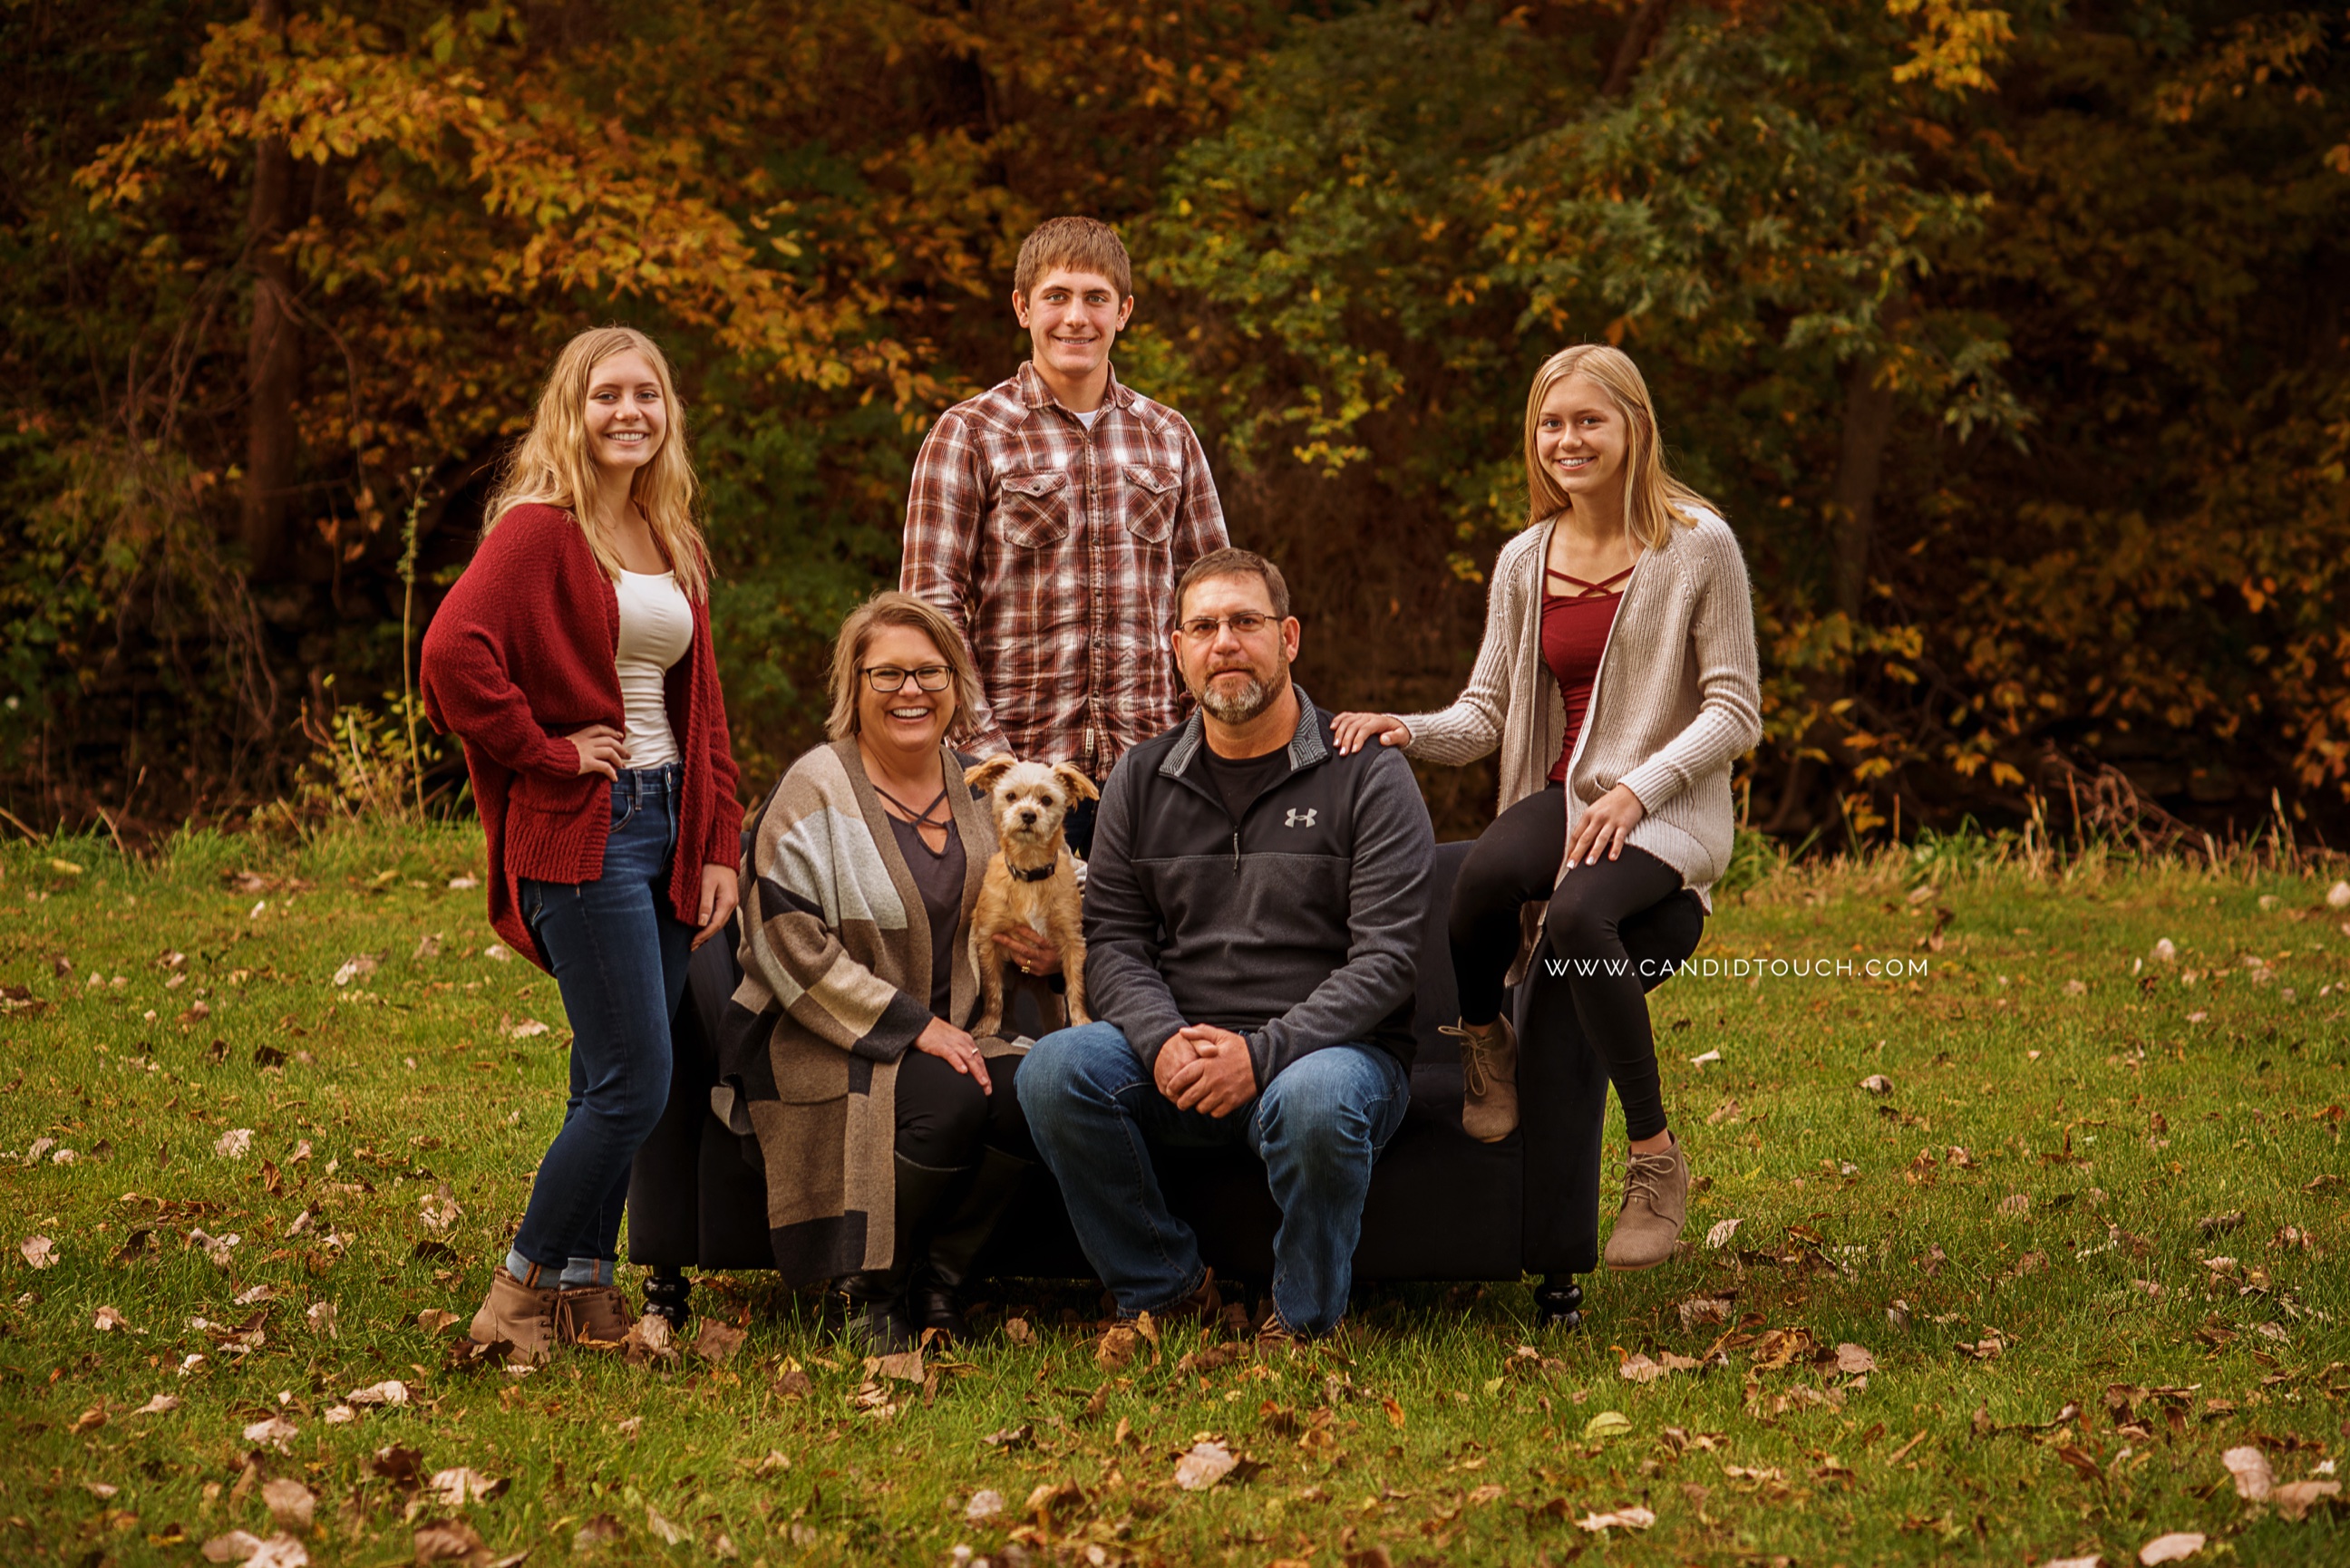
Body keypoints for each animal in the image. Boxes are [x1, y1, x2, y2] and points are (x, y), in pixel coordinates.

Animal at [958, 761, 1094, 1043]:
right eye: (1011, 796)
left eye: (1047, 800)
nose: (1029, 815)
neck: (1030, 874)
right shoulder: (988, 940)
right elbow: (992, 989)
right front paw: (988, 1025)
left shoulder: (1073, 941)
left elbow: (1076, 984)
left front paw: (1081, 1021)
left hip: (1051, 1003)